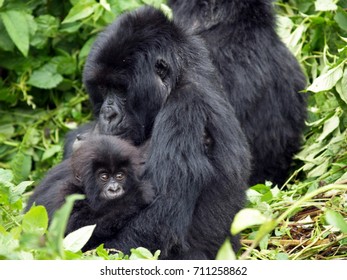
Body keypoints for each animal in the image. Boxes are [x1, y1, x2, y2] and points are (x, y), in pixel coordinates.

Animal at [25, 135, 154, 250]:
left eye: (119, 175)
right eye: (104, 177)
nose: (114, 189)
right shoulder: (67, 193)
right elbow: (73, 229)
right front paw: (136, 195)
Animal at [67, 7, 250, 260]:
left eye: (121, 89)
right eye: (104, 88)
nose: (107, 114)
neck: (181, 78)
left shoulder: (184, 108)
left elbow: (162, 220)